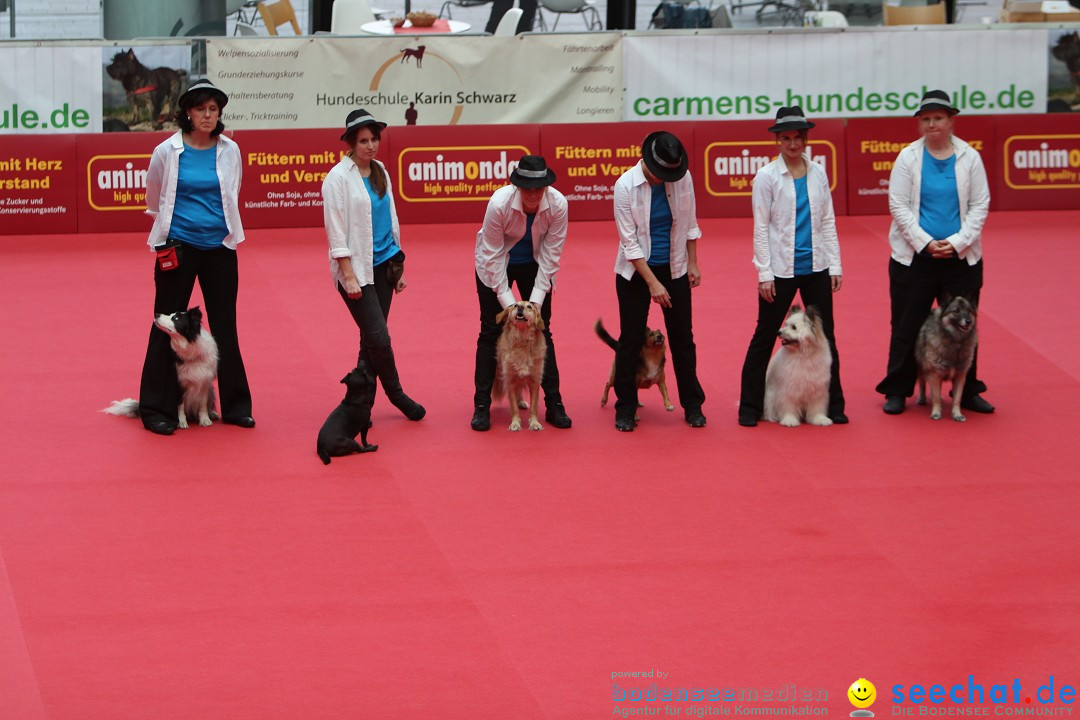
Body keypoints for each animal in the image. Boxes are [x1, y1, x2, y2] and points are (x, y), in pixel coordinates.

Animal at [494, 302, 548, 431]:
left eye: (529, 307)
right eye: (514, 305)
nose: (520, 307)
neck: (522, 341)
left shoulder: (534, 382)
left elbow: (533, 407)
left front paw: (534, 423)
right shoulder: (510, 381)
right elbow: (514, 408)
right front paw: (515, 424)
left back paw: (521, 402)